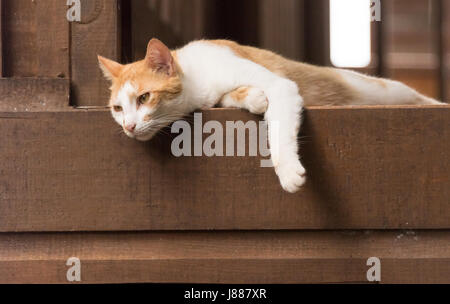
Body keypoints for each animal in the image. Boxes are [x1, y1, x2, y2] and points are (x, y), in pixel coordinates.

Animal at [97, 38, 442, 194]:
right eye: (118, 109)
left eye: (144, 97)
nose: (128, 126)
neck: (199, 78)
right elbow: (236, 97)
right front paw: (251, 97)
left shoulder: (282, 86)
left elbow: (278, 131)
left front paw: (288, 171)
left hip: (384, 91)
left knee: (418, 98)